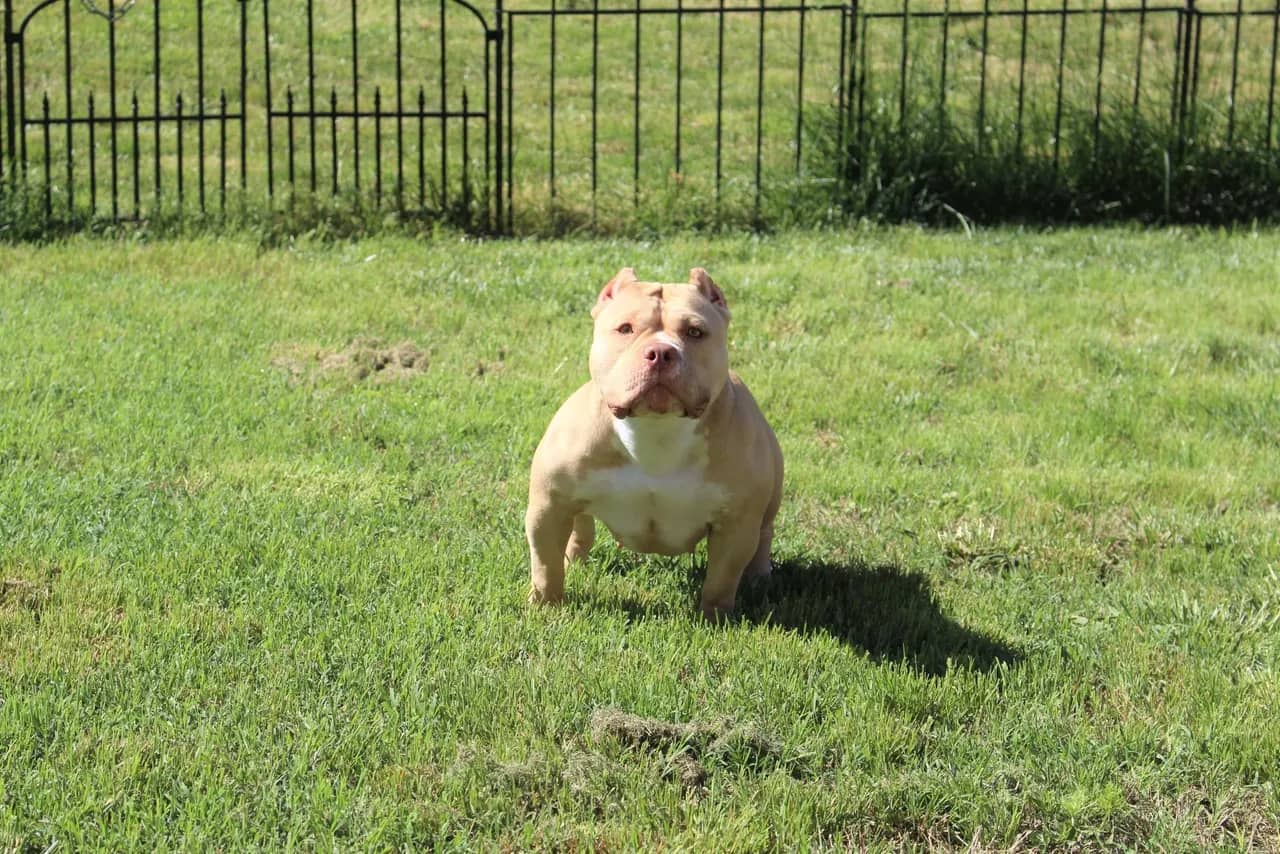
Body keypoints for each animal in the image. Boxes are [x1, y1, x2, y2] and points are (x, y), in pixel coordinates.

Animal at [527, 263, 783, 617]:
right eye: (625, 329)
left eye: (695, 332)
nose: (661, 352)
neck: (656, 429)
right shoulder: (549, 507)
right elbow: (545, 565)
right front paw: (547, 606)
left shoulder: (736, 524)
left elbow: (721, 581)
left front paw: (714, 617)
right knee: (581, 527)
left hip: (771, 495)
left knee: (764, 534)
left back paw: (759, 577)